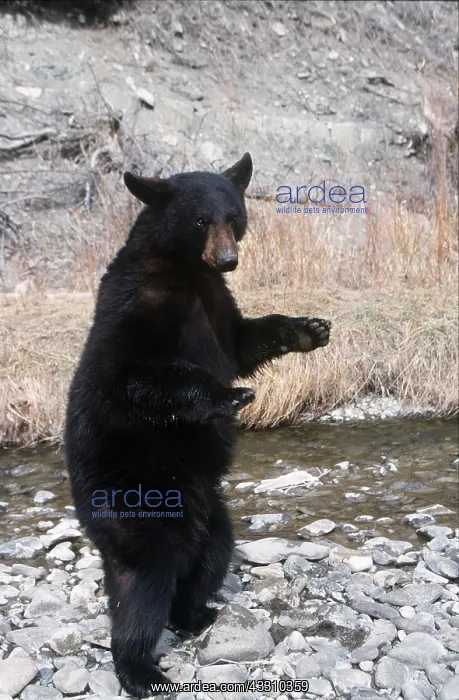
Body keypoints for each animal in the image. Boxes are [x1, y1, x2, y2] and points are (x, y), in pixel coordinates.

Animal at [65, 153, 331, 697]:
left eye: (234, 215)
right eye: (200, 220)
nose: (227, 260)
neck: (188, 271)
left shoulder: (219, 303)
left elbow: (246, 339)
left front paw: (309, 329)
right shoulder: (139, 305)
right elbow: (143, 377)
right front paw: (230, 396)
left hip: (208, 509)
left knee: (212, 556)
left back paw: (196, 613)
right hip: (136, 503)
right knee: (144, 581)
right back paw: (139, 667)